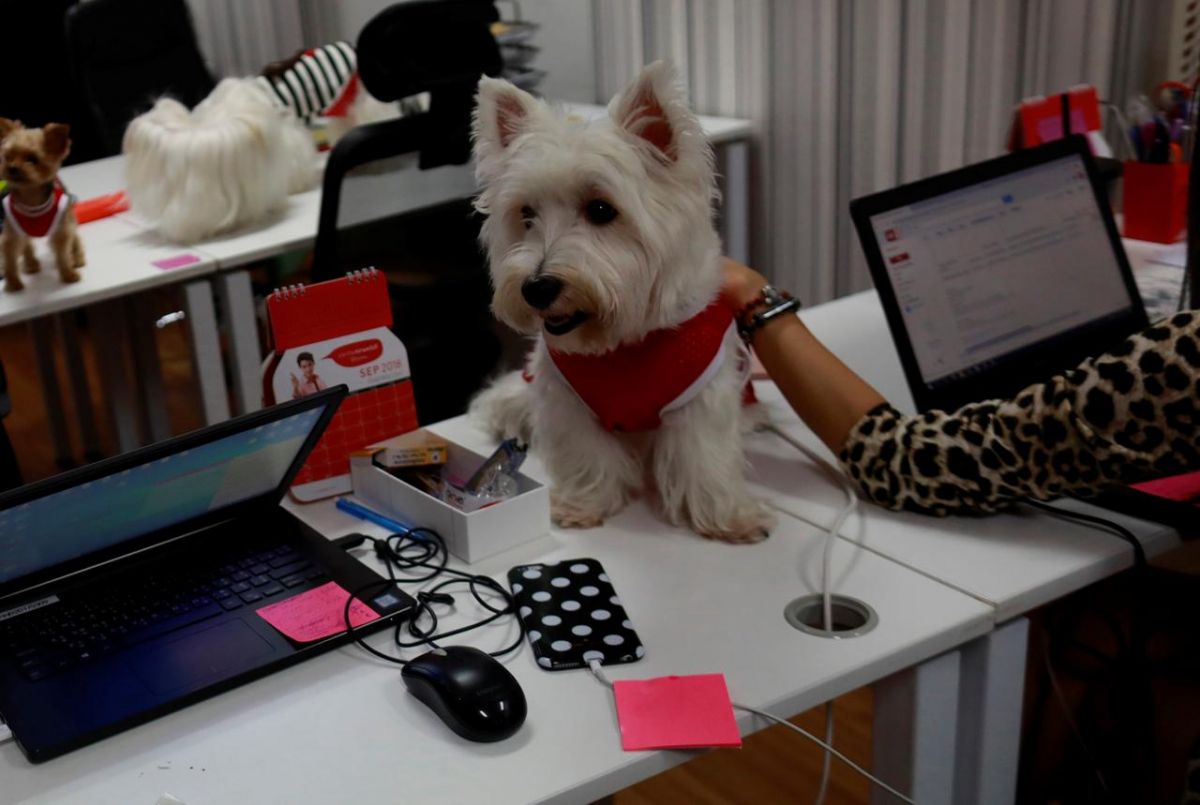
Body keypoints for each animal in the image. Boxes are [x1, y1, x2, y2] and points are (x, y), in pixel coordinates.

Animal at [468, 61, 768, 542]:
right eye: (526, 214)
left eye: (601, 210)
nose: (536, 288)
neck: (622, 343)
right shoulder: (565, 396)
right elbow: (586, 453)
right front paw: (581, 504)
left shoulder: (700, 395)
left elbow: (704, 457)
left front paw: (730, 517)